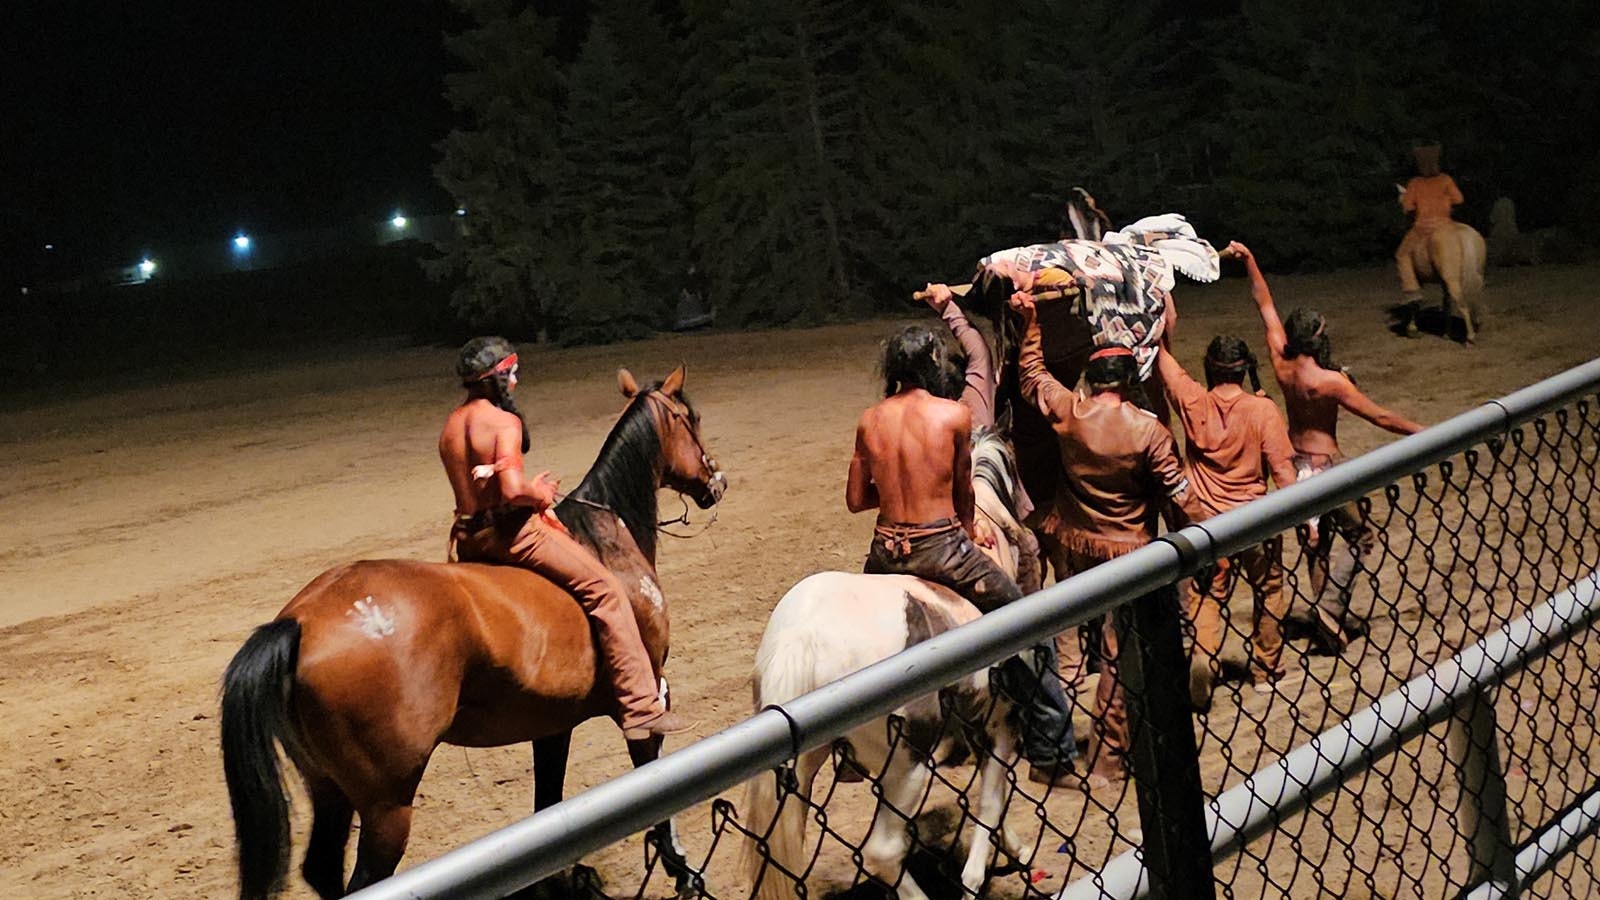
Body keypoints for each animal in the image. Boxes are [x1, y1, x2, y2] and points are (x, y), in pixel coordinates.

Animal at [222, 366, 729, 896]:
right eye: (692, 418)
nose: (717, 480)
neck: (605, 536)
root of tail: (300, 621)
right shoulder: (646, 699)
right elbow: (655, 784)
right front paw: (681, 867)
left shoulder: (553, 725)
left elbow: (548, 809)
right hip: (387, 807)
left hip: (329, 789)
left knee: (320, 867)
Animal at [745, 429, 1030, 896]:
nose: (1025, 515)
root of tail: (801, 637)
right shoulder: (999, 719)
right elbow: (992, 800)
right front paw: (982, 872)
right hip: (907, 766)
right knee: (882, 852)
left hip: (800, 771)